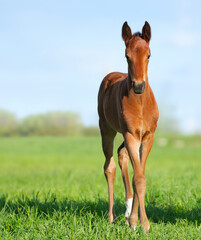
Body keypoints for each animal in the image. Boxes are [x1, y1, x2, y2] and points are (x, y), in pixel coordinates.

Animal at [97, 21, 159, 232]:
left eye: (149, 55)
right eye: (127, 56)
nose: (139, 86)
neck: (140, 103)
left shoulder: (147, 137)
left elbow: (139, 175)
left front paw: (136, 221)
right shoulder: (131, 135)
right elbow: (138, 178)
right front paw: (140, 223)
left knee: (122, 155)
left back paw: (126, 212)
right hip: (107, 130)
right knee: (109, 166)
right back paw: (112, 216)